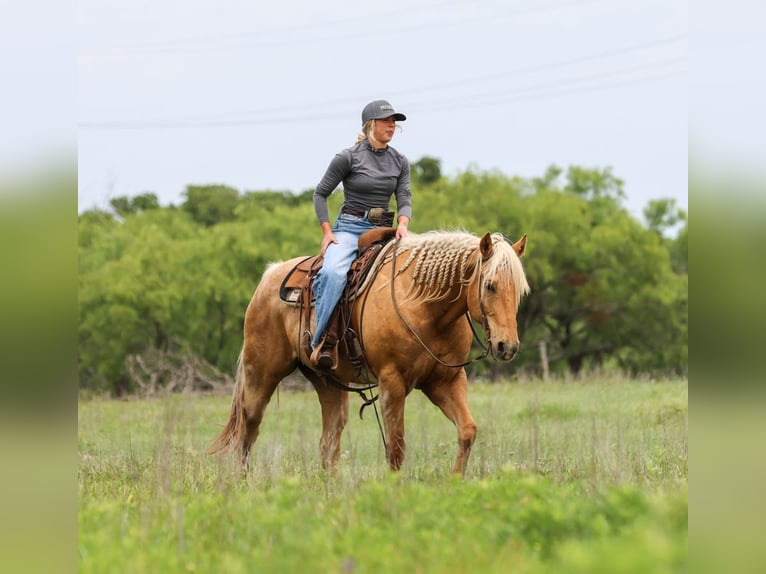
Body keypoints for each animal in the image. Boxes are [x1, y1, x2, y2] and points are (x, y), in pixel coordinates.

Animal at [208, 230, 529, 476]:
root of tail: (269, 276)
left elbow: (467, 431)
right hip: (260, 374)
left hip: (328, 383)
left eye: (520, 290)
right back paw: (241, 483)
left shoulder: (445, 381)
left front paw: (455, 481)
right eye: (489, 285)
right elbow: (396, 446)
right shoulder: (392, 384)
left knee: (328, 442)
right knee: (249, 429)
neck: (424, 306)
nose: (508, 346)